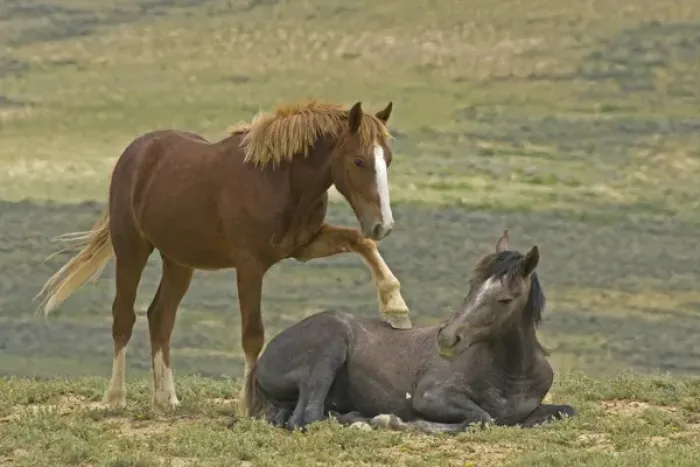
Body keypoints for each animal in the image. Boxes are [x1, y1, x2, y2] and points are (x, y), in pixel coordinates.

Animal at [35, 99, 413, 414]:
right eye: (359, 161)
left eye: (388, 159)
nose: (382, 224)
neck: (278, 179)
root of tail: (136, 152)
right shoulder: (249, 265)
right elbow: (252, 334)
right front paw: (248, 404)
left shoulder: (305, 246)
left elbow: (362, 244)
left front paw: (396, 308)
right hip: (132, 249)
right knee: (123, 317)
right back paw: (115, 398)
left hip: (179, 261)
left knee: (160, 317)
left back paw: (166, 399)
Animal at [243, 230, 576, 433]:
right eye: (473, 285)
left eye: (505, 298)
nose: (448, 338)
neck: (511, 375)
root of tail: (263, 359)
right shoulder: (431, 396)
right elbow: (482, 418)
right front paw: (397, 422)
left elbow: (563, 411)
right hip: (329, 349)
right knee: (307, 417)